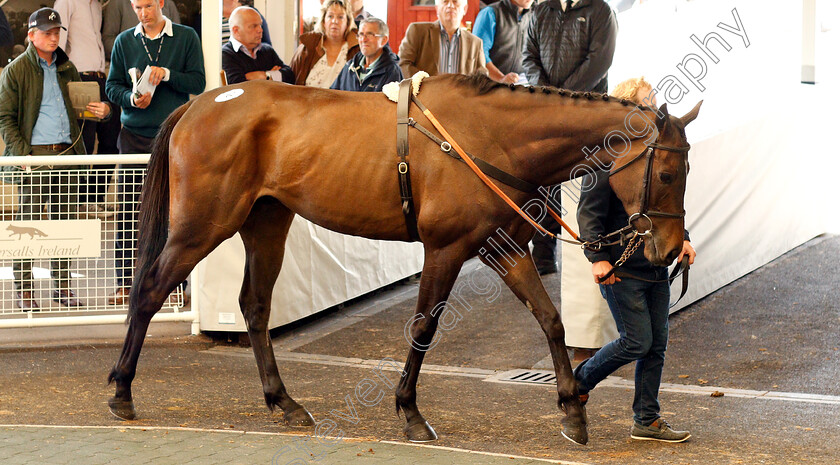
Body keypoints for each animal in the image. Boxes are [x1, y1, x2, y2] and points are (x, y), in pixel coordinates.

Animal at [108, 74, 700, 444]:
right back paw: (121, 391)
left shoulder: (503, 248)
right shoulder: (446, 248)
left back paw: (284, 402)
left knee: (254, 306)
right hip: (203, 225)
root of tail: (201, 103)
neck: (491, 138)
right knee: (150, 290)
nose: (672, 249)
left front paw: (573, 409)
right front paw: (410, 412)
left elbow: (550, 319)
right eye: (670, 172)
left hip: (266, 222)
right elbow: (422, 327)